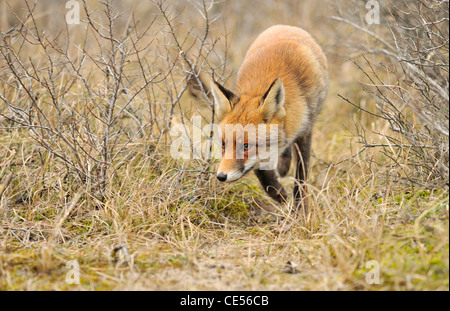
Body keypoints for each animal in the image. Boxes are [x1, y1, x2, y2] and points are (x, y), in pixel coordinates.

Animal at [209, 25, 328, 210]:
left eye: (246, 146)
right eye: (223, 144)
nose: (221, 176)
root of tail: (285, 26)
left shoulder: (305, 131)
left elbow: (301, 177)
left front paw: (300, 209)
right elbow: (261, 172)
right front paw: (279, 193)